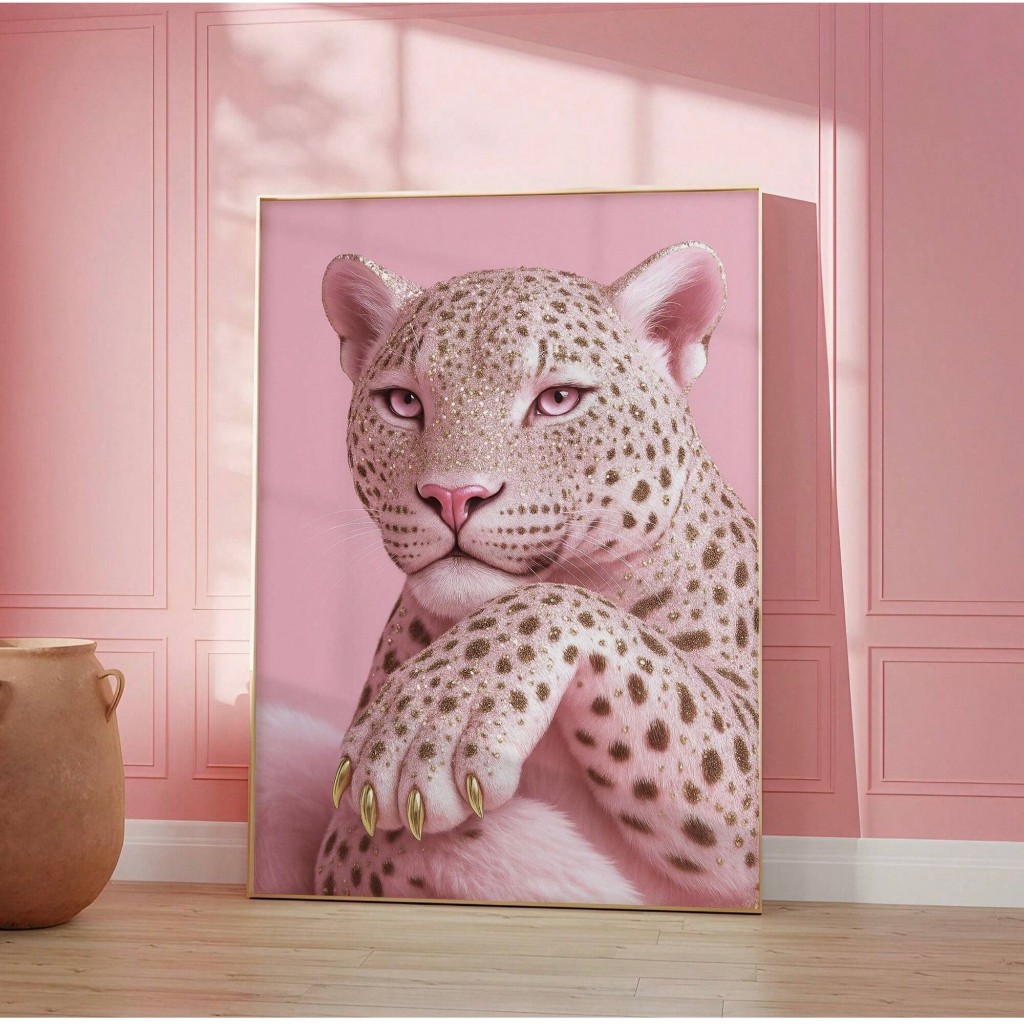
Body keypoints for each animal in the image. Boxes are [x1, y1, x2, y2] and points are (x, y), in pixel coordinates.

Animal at [258, 241, 760, 909]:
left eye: (558, 400)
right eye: (404, 403)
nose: (452, 496)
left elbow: (556, 599)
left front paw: (421, 731)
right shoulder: (337, 840)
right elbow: (397, 842)